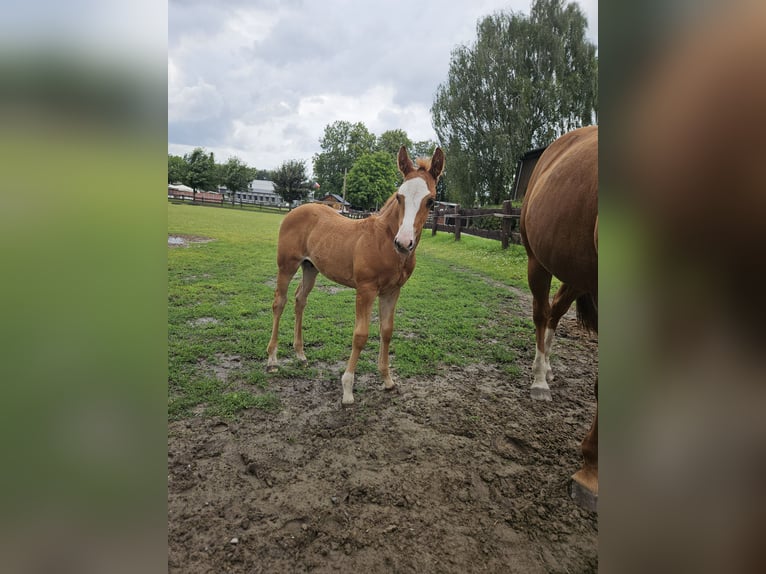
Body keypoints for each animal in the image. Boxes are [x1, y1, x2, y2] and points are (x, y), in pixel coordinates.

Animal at [267, 146, 445, 405]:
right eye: (399, 196)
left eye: (430, 201)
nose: (403, 243)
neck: (384, 242)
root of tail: (297, 209)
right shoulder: (366, 290)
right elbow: (360, 335)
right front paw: (348, 389)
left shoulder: (392, 291)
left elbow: (387, 331)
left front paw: (387, 380)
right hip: (287, 266)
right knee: (279, 302)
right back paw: (272, 360)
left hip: (310, 267)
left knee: (300, 300)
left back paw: (300, 354)